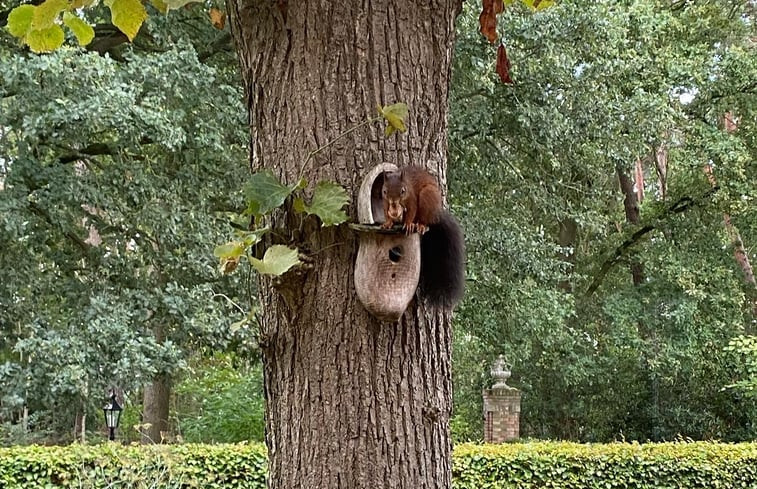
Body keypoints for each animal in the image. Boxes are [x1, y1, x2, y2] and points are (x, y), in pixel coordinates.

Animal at [380, 166, 464, 306]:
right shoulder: (385, 202)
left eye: (403, 191)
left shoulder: (412, 198)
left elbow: (411, 210)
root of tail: (437, 214)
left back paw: (420, 225)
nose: (394, 204)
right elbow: (386, 212)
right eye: (385, 191)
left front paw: (408, 224)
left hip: (427, 196)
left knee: (424, 218)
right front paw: (388, 223)